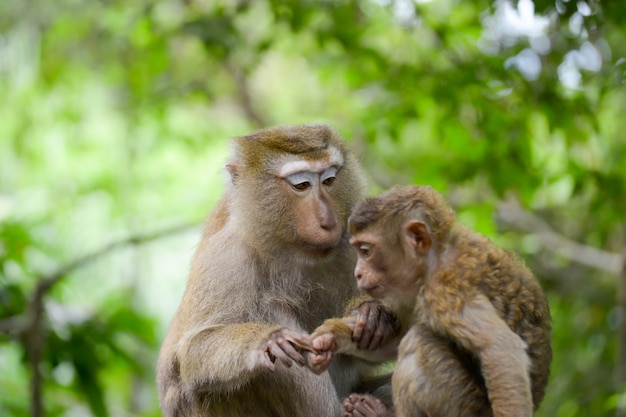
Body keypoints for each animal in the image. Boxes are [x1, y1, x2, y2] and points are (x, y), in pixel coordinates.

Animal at [308, 185, 552, 416]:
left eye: (365, 251)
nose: (357, 273)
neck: (433, 258)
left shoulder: (446, 289)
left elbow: (498, 346)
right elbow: (396, 339)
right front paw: (333, 337)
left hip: (466, 406)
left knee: (418, 340)